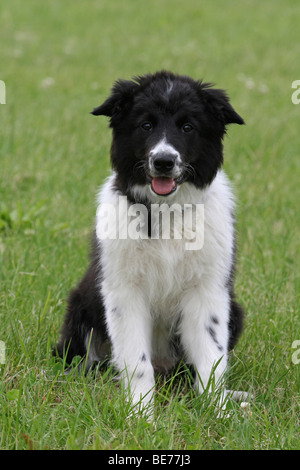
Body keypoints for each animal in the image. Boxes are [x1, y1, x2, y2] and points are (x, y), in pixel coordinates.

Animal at [56, 70, 246, 414]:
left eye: (188, 126)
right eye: (146, 125)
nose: (164, 161)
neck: (166, 212)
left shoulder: (208, 291)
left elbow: (211, 358)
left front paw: (218, 411)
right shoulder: (125, 292)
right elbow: (136, 362)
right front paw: (141, 415)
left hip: (235, 311)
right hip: (82, 305)